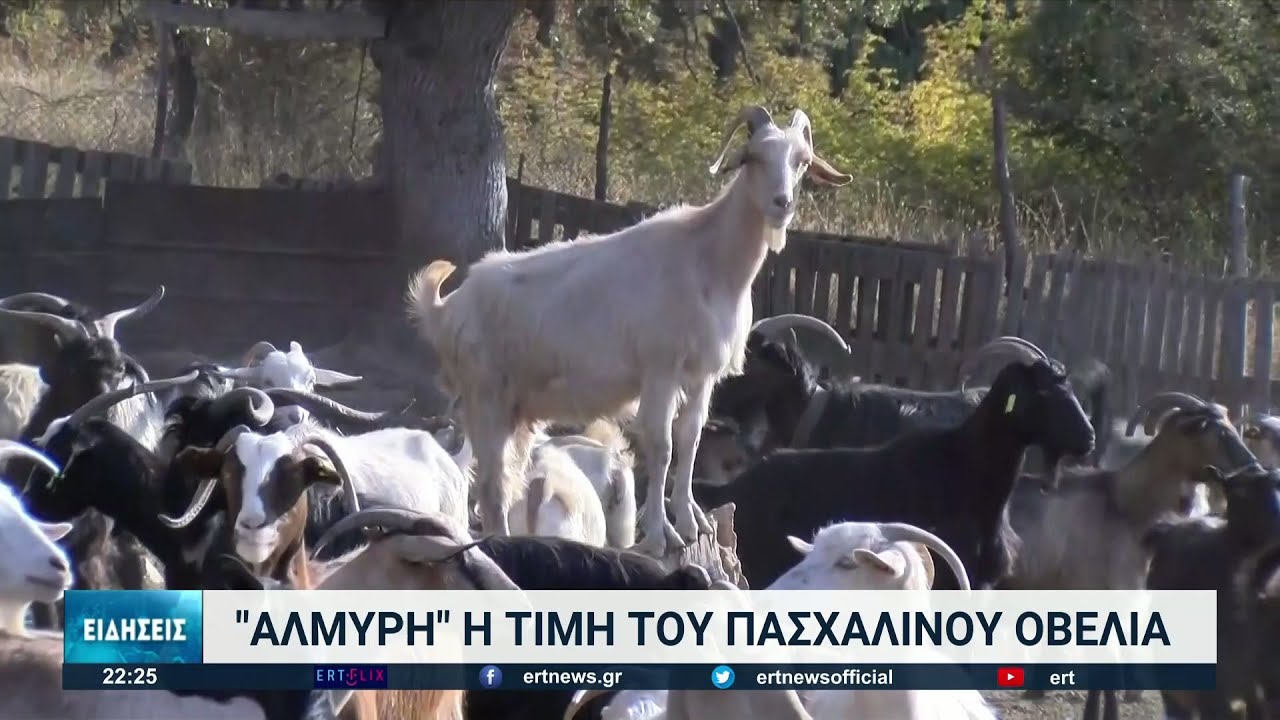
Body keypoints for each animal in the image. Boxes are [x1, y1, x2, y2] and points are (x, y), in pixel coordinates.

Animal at [406, 105, 852, 558]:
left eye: (802, 162)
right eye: (754, 156)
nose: (782, 203)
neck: (709, 261)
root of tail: (446, 308)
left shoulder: (701, 375)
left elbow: (689, 440)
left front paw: (691, 522)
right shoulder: (660, 370)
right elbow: (661, 448)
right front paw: (659, 534)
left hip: (519, 411)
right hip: (486, 399)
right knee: (490, 486)